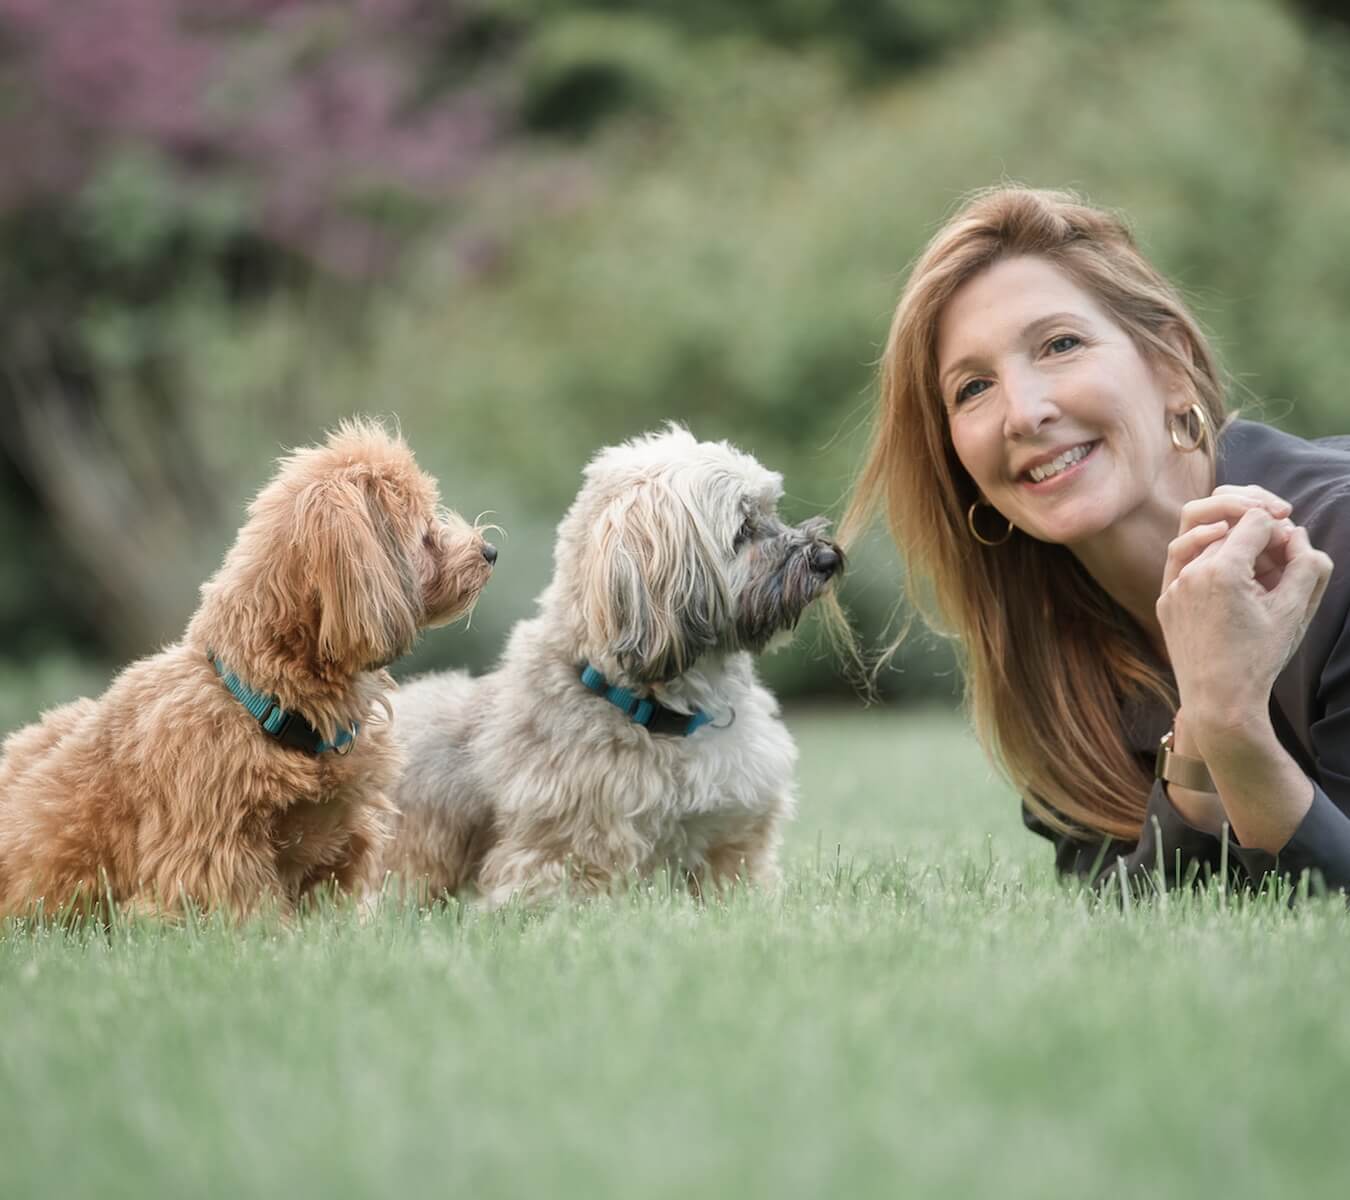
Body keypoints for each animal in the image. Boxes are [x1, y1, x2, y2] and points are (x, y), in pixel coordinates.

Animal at [383, 426, 842, 901]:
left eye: (771, 513)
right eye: (743, 530)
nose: (828, 559)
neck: (662, 713)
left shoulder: (734, 834)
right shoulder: (560, 851)